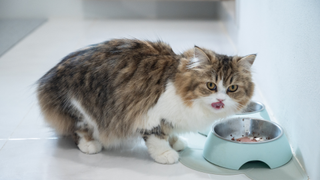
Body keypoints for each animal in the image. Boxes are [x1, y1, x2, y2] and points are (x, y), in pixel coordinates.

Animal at [36, 38, 255, 164]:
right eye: (211, 85)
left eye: (232, 88)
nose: (220, 99)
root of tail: (46, 78)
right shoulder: (151, 116)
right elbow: (157, 138)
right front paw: (166, 154)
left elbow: (171, 132)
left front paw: (176, 142)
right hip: (80, 108)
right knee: (78, 130)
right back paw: (90, 145)